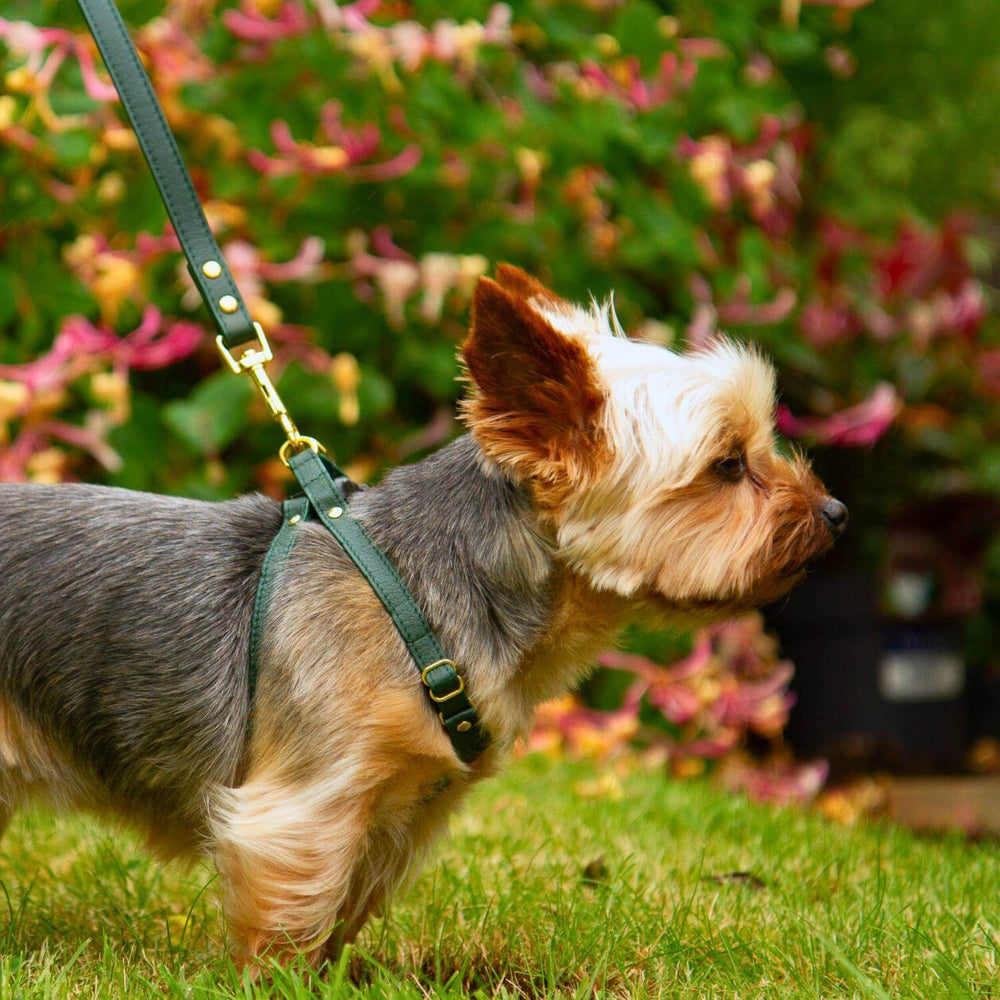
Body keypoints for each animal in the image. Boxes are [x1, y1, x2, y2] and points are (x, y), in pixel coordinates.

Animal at [0, 264, 848, 960]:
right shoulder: (304, 809)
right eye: (728, 466)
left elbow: (340, 914)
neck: (421, 596)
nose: (838, 513)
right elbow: (290, 919)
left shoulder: (398, 816)